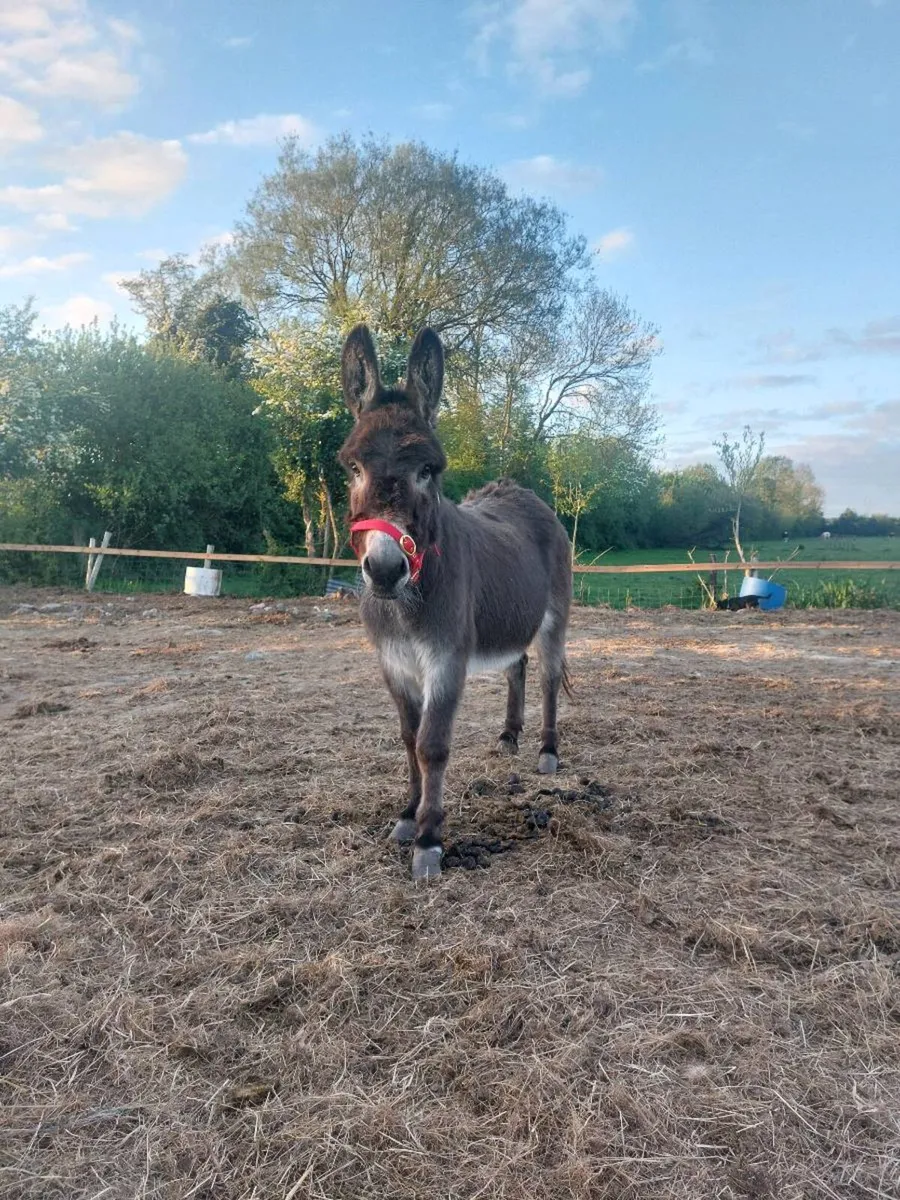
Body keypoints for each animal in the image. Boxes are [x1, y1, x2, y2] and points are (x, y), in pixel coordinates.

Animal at [338, 324, 572, 880]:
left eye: (429, 469)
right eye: (353, 467)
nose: (385, 570)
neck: (405, 605)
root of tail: (522, 492)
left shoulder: (446, 660)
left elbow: (432, 744)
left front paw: (429, 839)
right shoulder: (393, 662)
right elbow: (407, 736)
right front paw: (407, 816)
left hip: (554, 618)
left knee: (550, 676)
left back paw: (546, 752)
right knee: (518, 665)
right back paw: (509, 737)